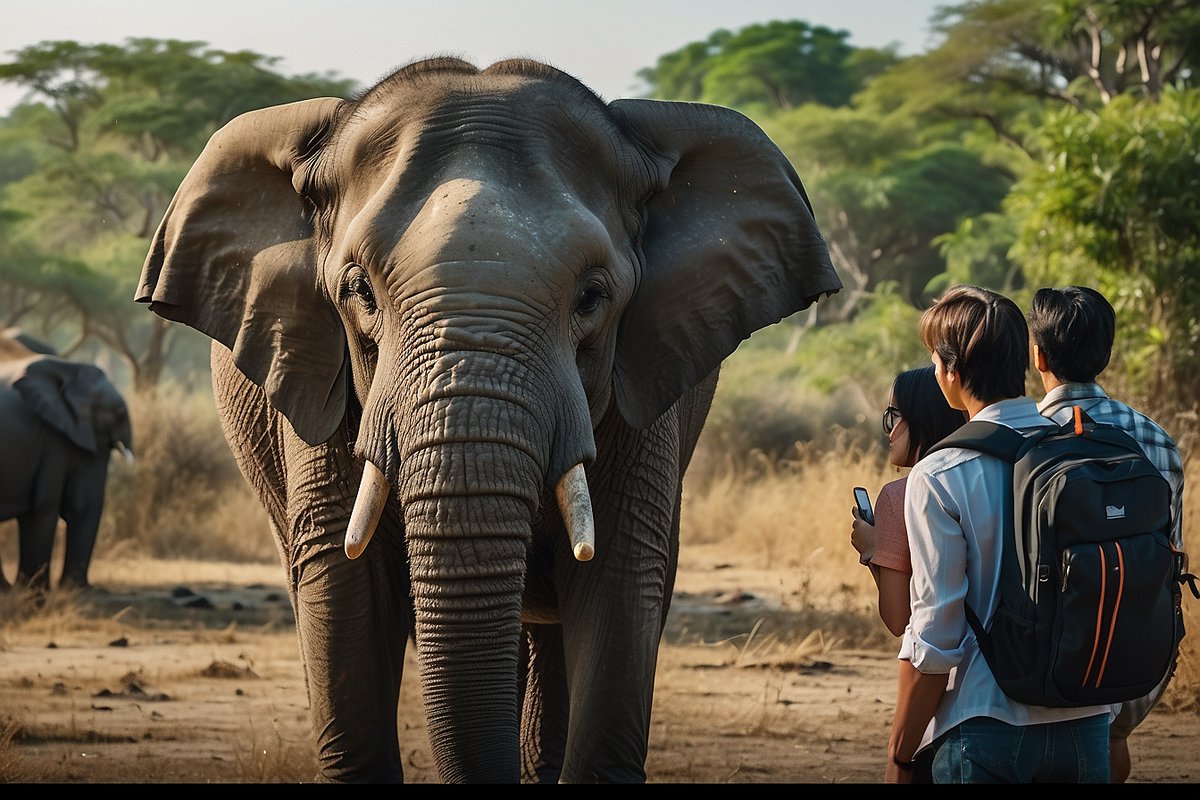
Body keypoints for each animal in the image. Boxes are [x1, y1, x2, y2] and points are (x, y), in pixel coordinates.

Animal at [0, 354, 133, 591]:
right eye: (119, 413)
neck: (71, 370)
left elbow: (81, 504)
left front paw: (73, 592)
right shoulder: (51, 437)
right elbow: (45, 505)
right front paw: (35, 595)